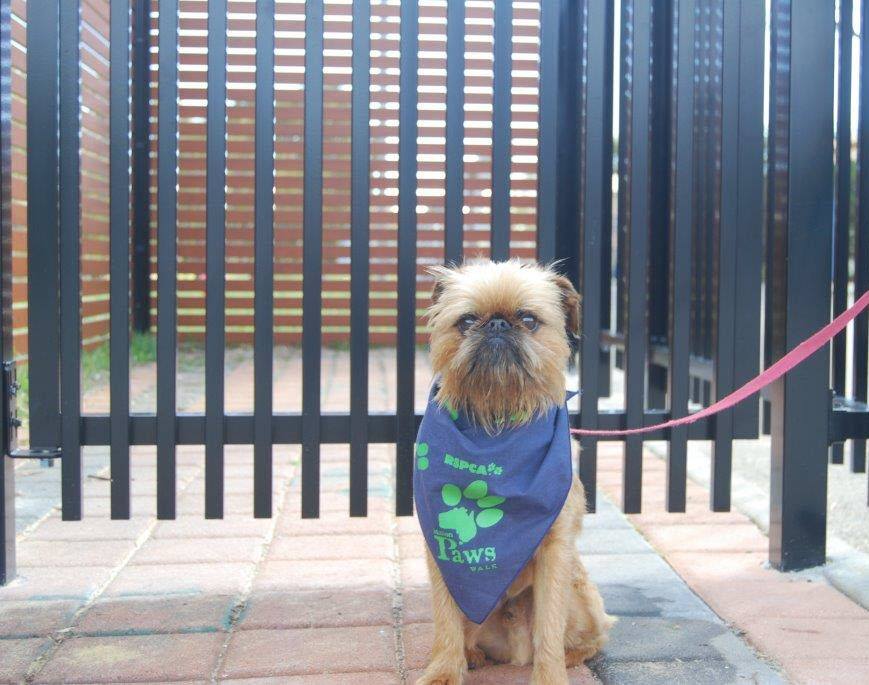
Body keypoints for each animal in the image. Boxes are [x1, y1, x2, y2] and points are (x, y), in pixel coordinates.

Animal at [416, 260, 612, 684]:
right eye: (466, 320)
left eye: (528, 319)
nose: (497, 324)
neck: (496, 424)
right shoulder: (438, 548)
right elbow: (445, 620)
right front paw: (444, 670)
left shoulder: (555, 552)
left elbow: (550, 627)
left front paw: (551, 677)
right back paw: (471, 656)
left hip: (581, 595)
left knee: (595, 635)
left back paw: (569, 658)